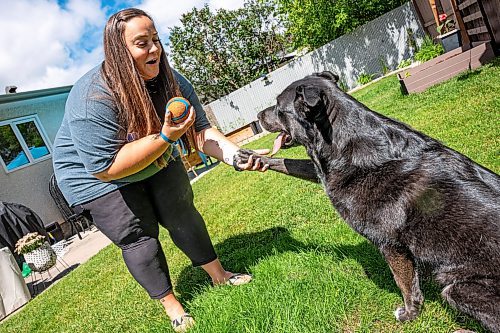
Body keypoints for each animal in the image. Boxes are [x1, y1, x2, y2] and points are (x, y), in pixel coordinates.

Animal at [235, 71, 500, 330]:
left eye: (278, 107)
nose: (258, 117)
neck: (344, 141)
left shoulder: (390, 244)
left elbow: (405, 284)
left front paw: (409, 314)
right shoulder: (323, 173)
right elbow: (287, 163)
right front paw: (249, 157)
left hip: (457, 289)